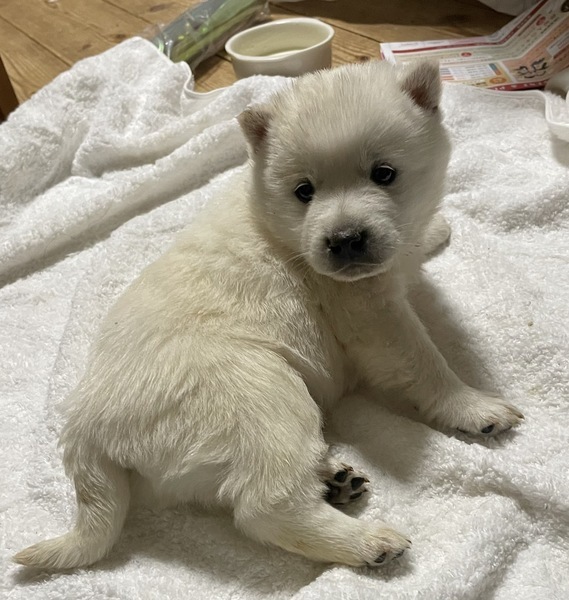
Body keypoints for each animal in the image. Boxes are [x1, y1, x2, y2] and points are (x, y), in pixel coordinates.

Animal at [14, 60, 523, 571]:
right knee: (265, 507)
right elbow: (423, 362)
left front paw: (434, 230)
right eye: (304, 191)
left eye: (384, 173)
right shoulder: (369, 312)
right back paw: (368, 541)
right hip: (256, 392)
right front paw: (475, 406)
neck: (283, 233)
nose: (344, 240)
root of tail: (84, 429)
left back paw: (333, 477)